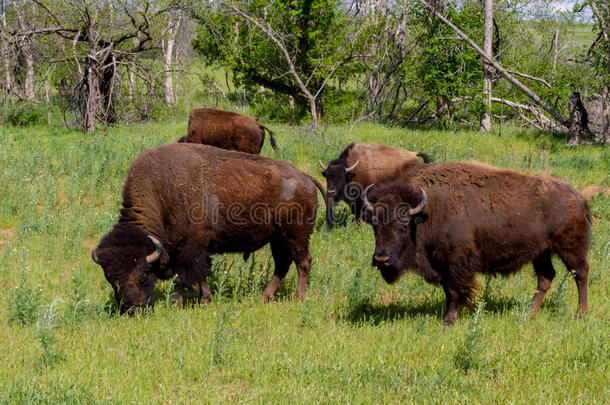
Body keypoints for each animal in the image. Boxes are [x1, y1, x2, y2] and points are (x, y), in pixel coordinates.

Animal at [91, 142, 328, 312]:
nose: (134, 309)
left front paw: (195, 302)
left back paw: (298, 297)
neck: (161, 192)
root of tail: (305, 177)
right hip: (277, 239)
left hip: (295, 236)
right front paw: (188, 301)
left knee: (303, 262)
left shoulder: (191, 249)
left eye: (142, 276)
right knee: (282, 265)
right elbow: (189, 276)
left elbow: (190, 275)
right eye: (111, 279)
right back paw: (262, 297)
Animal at [360, 163, 588, 324]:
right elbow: (448, 291)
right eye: (375, 224)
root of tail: (577, 197)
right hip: (541, 252)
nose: (381, 258)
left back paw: (581, 314)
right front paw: (450, 316)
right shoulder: (442, 265)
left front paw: (449, 320)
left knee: (580, 274)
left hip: (570, 249)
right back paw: (529, 314)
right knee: (546, 277)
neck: (427, 213)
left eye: (403, 225)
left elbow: (455, 291)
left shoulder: (456, 263)